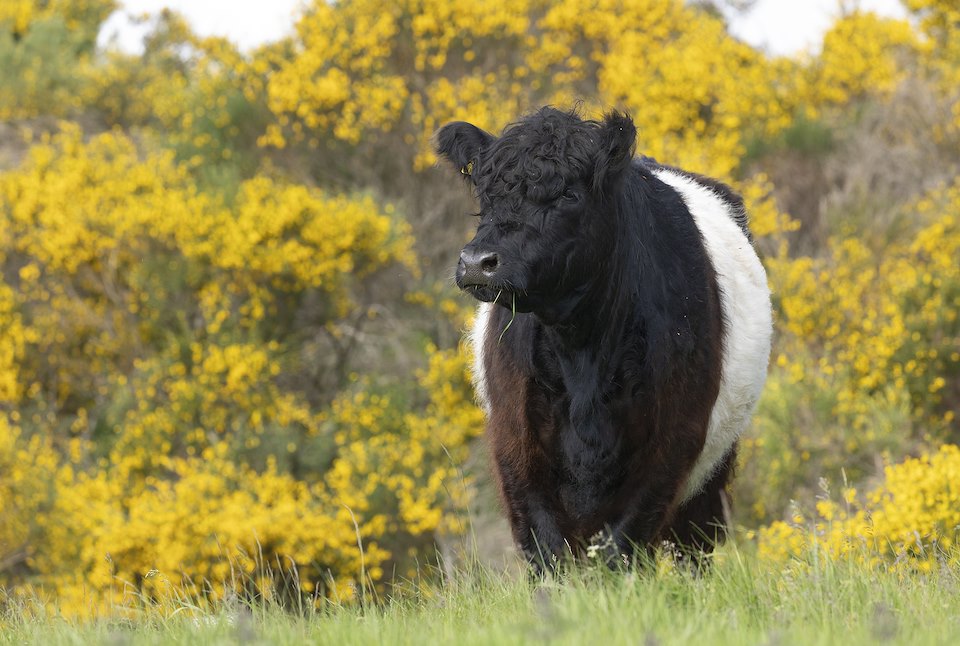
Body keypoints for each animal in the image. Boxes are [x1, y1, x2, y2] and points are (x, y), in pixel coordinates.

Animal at [436, 107, 772, 572]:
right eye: (486, 196)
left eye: (568, 196)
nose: (476, 262)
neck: (583, 355)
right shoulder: (515, 442)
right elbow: (547, 547)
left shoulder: (673, 440)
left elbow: (621, 545)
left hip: (712, 474)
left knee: (691, 546)